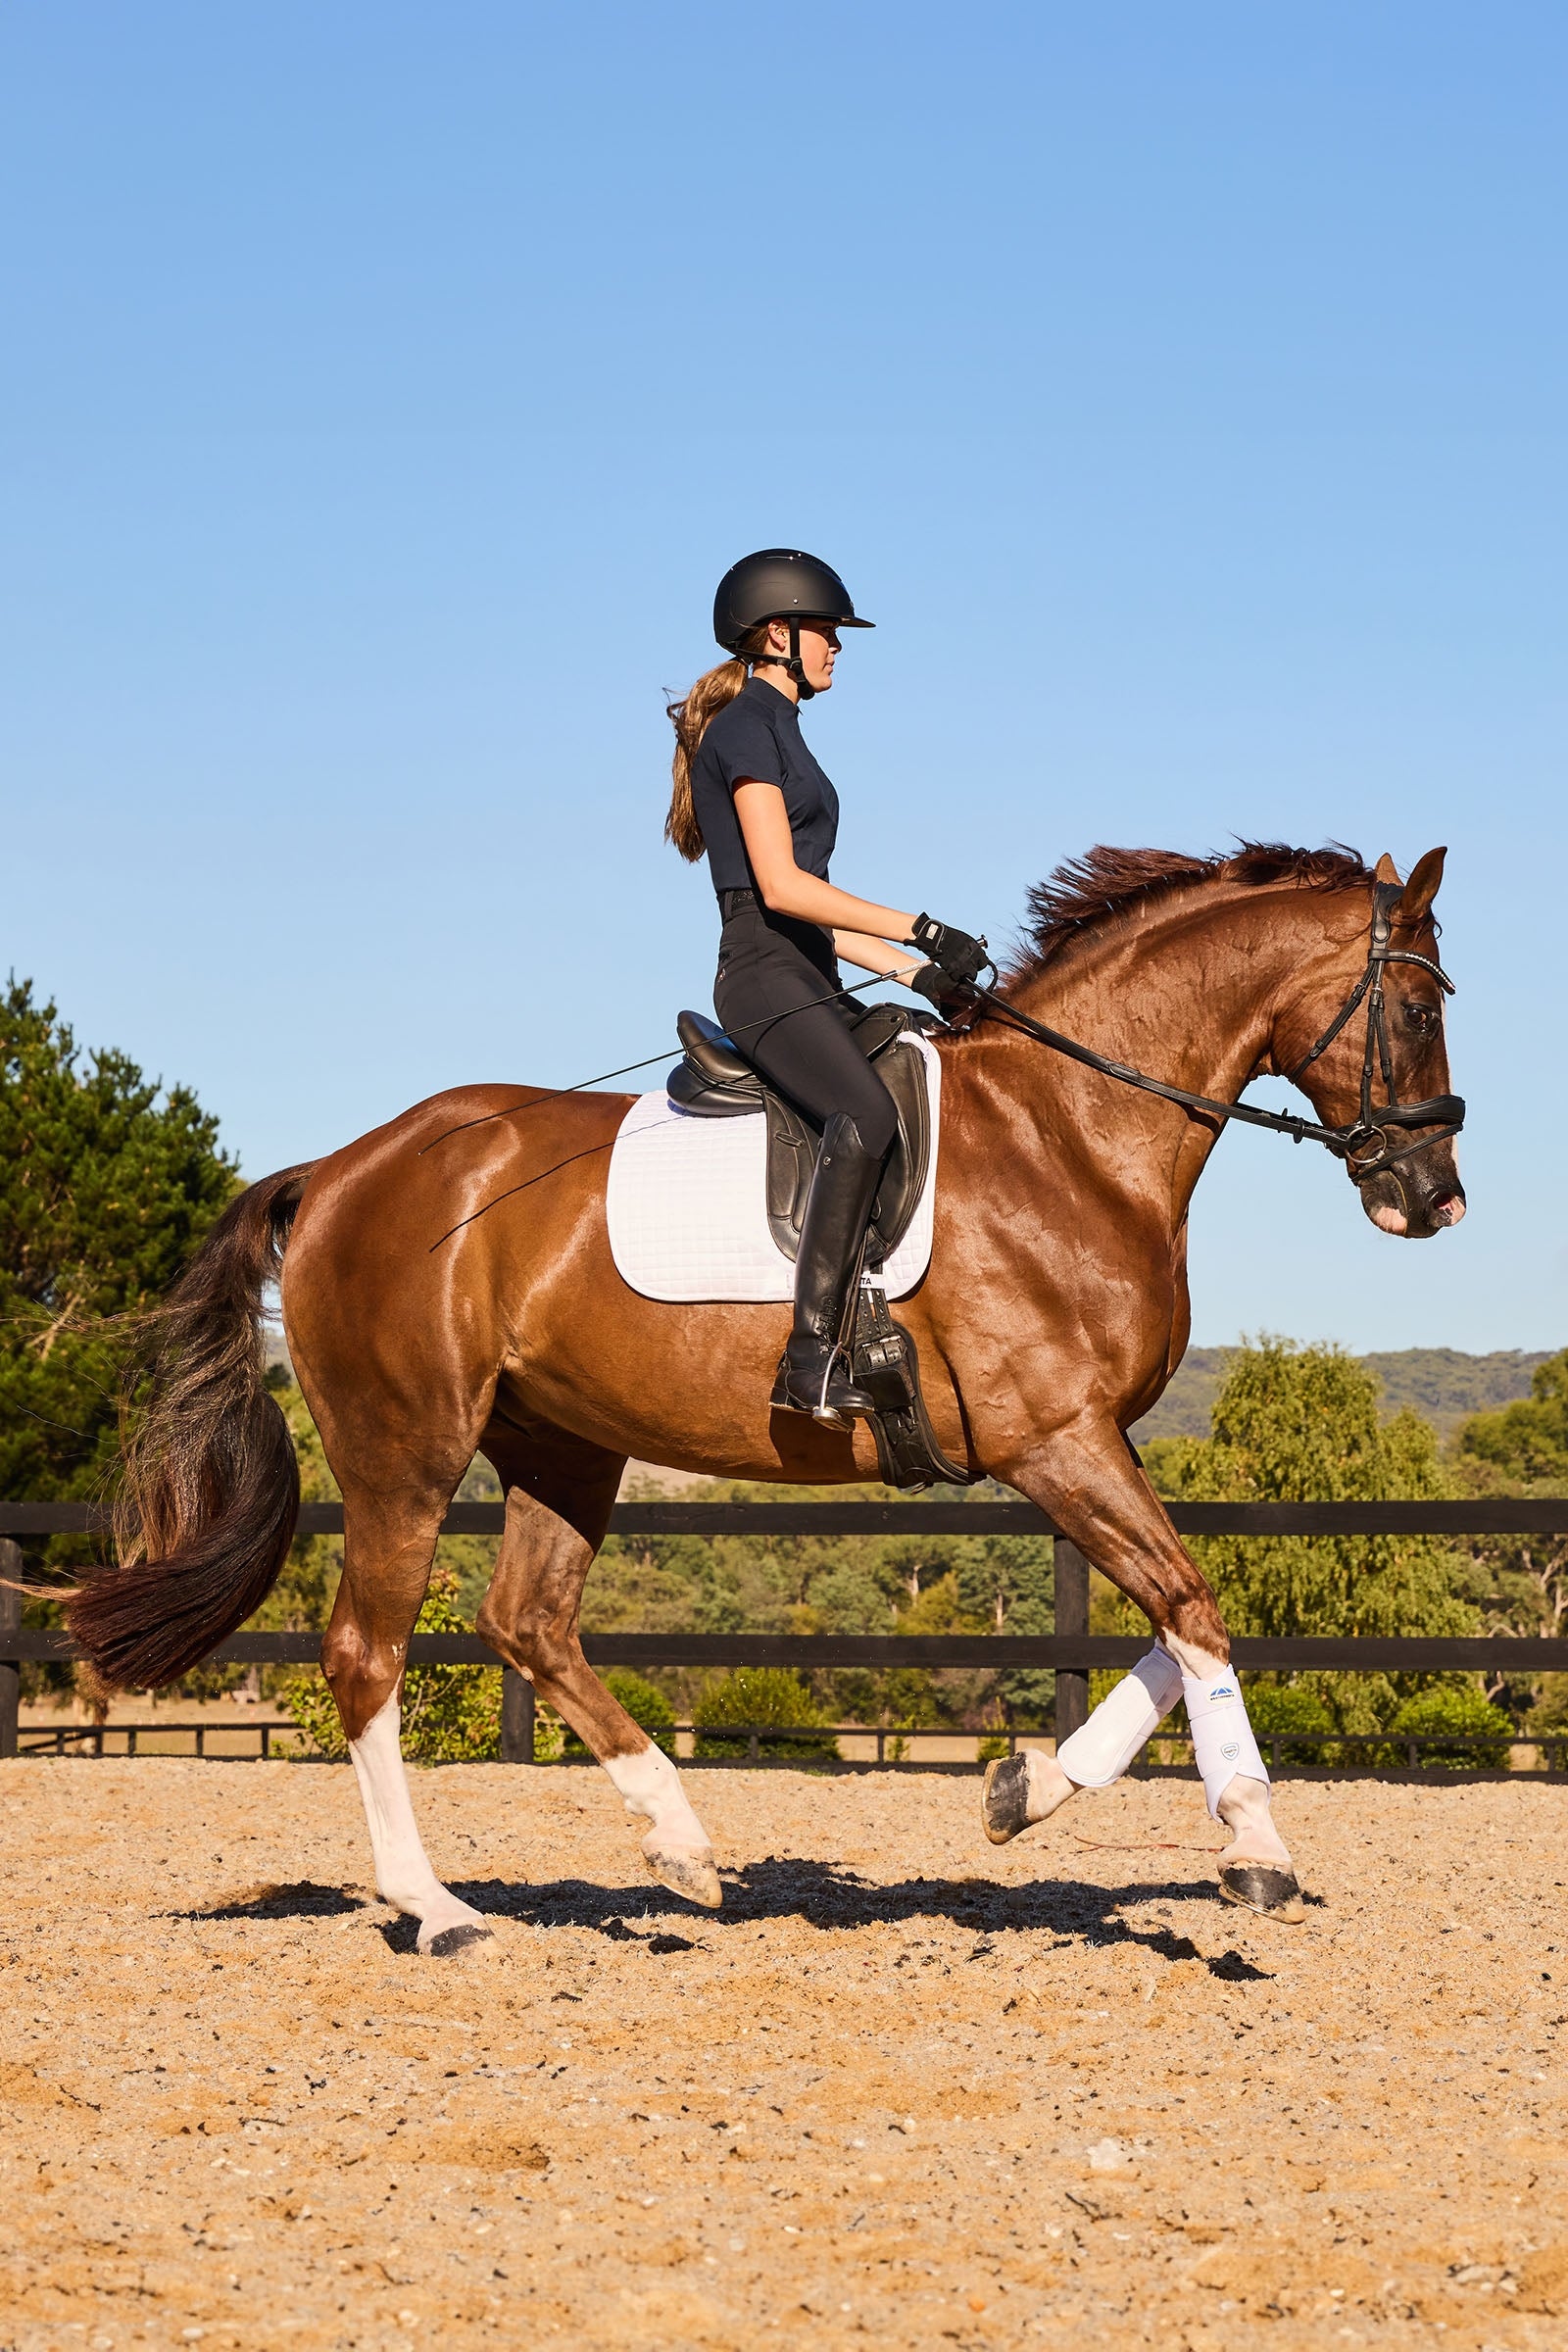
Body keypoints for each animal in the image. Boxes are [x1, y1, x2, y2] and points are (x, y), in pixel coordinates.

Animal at [70, 841, 1465, 1954]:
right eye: (1414, 1003)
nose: (1433, 1200)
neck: (1070, 1134)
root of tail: (341, 1168)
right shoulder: (1054, 1440)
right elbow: (1192, 1605)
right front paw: (1254, 1848)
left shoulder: (1087, 1441)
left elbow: (1179, 1622)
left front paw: (1021, 1792)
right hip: (404, 1450)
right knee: (369, 1654)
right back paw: (440, 1910)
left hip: (561, 1444)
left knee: (530, 1621)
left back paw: (681, 1848)